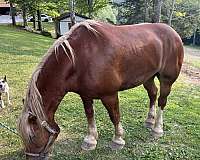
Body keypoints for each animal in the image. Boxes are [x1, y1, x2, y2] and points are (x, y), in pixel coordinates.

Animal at [18, 20, 184, 159]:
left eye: (32, 136)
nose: (30, 158)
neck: (79, 58)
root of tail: (173, 33)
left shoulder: (109, 95)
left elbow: (114, 116)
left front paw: (118, 140)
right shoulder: (85, 95)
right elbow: (89, 115)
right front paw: (90, 140)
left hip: (166, 80)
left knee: (162, 100)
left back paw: (157, 129)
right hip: (147, 77)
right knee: (153, 94)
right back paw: (150, 120)